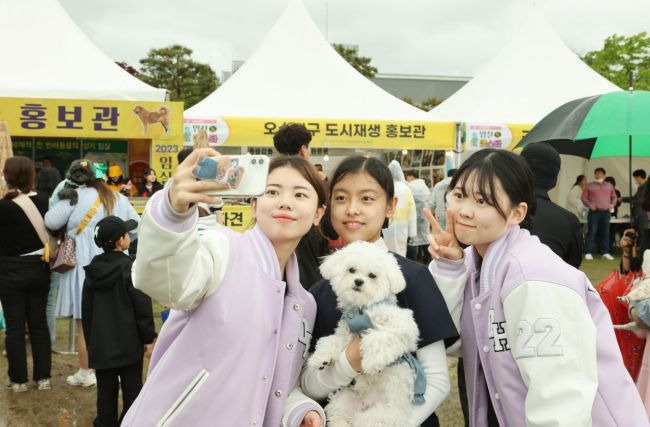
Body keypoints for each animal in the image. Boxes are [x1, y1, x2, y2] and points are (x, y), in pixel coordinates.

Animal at [306, 242, 418, 426]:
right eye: (351, 270)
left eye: (372, 275)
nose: (358, 281)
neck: (361, 308)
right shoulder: (347, 333)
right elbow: (333, 341)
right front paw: (320, 357)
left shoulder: (402, 324)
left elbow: (381, 337)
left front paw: (371, 361)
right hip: (343, 400)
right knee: (339, 416)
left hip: (378, 417)